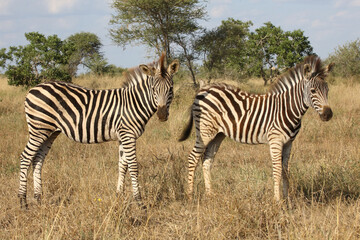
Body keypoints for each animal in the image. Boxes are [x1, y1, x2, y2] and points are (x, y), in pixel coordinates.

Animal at [17, 52, 179, 208]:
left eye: (170, 89)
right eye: (153, 90)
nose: (162, 115)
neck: (134, 103)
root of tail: (33, 88)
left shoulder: (123, 136)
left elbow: (122, 166)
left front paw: (118, 195)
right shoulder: (128, 135)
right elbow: (133, 166)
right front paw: (139, 202)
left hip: (49, 132)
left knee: (37, 159)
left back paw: (38, 198)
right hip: (39, 129)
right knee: (26, 157)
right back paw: (23, 201)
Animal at [180, 56, 334, 202]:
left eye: (327, 90)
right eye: (313, 91)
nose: (328, 114)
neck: (287, 109)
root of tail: (203, 89)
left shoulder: (289, 143)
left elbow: (285, 170)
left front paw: (287, 200)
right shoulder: (275, 141)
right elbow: (277, 170)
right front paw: (277, 201)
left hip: (218, 135)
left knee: (207, 160)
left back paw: (210, 195)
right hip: (204, 132)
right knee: (193, 158)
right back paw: (190, 196)